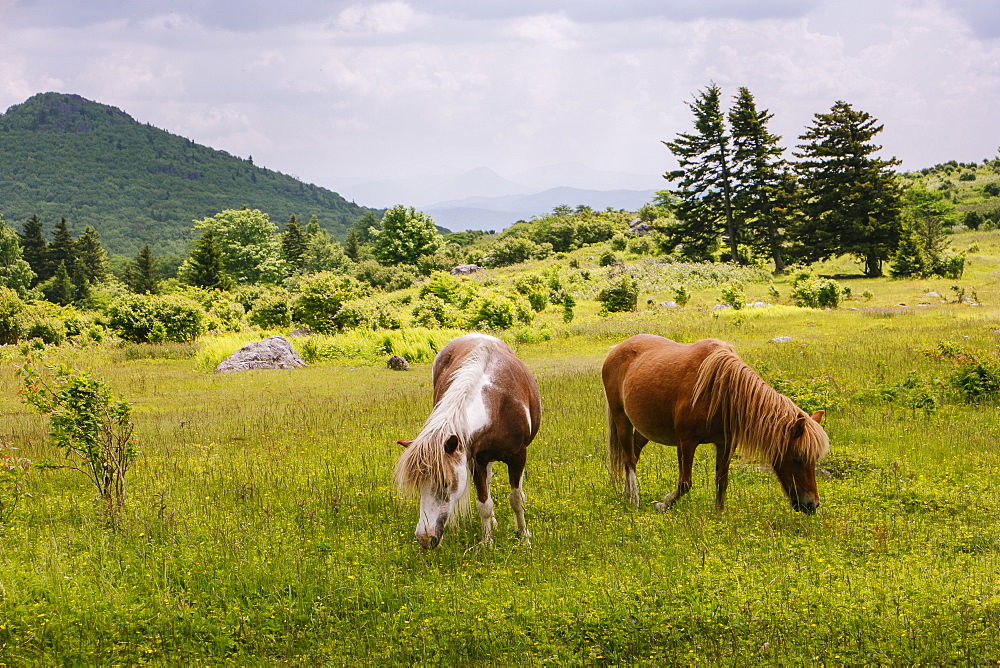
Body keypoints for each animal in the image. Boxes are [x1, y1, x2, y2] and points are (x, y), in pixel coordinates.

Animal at [394, 334, 544, 548]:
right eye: (418, 485)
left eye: (445, 483)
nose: (425, 539)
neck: (498, 405)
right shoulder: (477, 460)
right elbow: (484, 504)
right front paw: (487, 543)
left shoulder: (518, 457)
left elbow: (517, 500)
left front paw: (524, 538)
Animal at [600, 336, 828, 516]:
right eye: (797, 459)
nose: (812, 504)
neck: (721, 390)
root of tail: (616, 350)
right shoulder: (686, 441)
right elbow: (685, 483)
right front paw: (663, 504)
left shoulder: (726, 443)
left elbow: (721, 480)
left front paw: (719, 514)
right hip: (622, 420)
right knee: (629, 460)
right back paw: (633, 499)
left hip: (644, 429)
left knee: (633, 455)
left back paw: (626, 494)